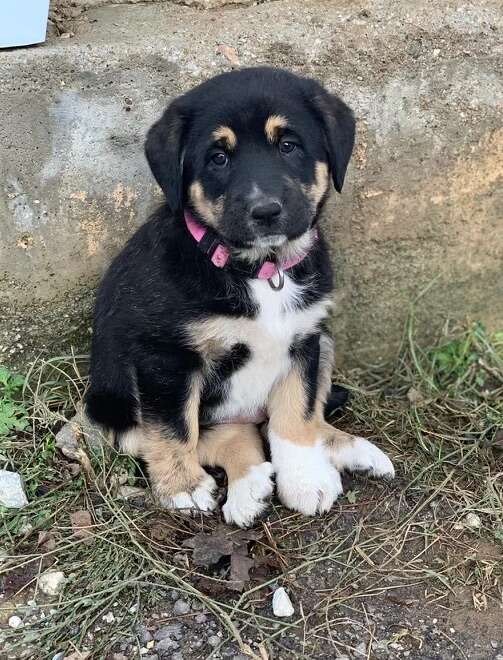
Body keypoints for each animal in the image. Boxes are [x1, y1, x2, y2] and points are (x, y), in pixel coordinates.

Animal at [85, 67, 394, 528]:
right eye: (218, 158)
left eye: (288, 145)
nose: (265, 211)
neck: (260, 270)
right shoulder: (166, 357)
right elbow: (175, 426)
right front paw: (181, 486)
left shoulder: (304, 340)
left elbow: (295, 415)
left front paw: (304, 480)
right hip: (116, 410)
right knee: (223, 434)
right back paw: (247, 488)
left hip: (325, 344)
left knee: (273, 424)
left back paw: (345, 450)